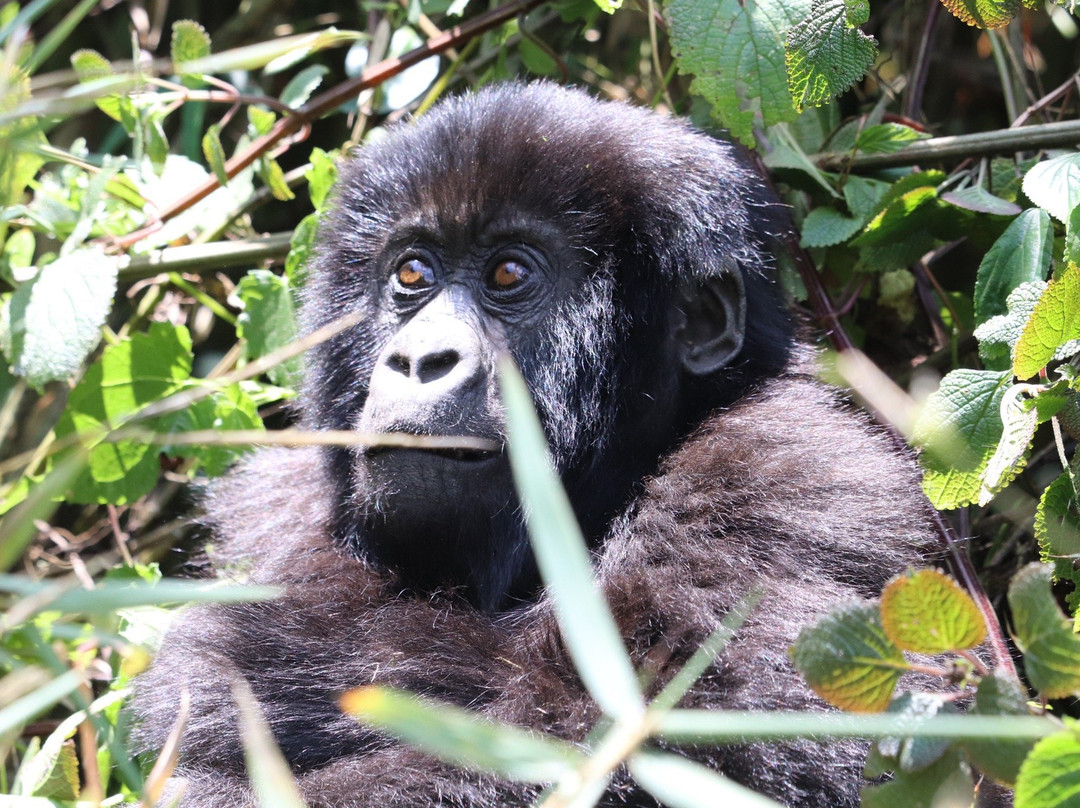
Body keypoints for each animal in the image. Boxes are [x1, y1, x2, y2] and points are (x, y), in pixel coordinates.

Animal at [132, 82, 937, 807]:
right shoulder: (269, 504)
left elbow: (640, 732)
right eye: (412, 273)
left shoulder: (784, 470)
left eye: (509, 274)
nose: (418, 360)